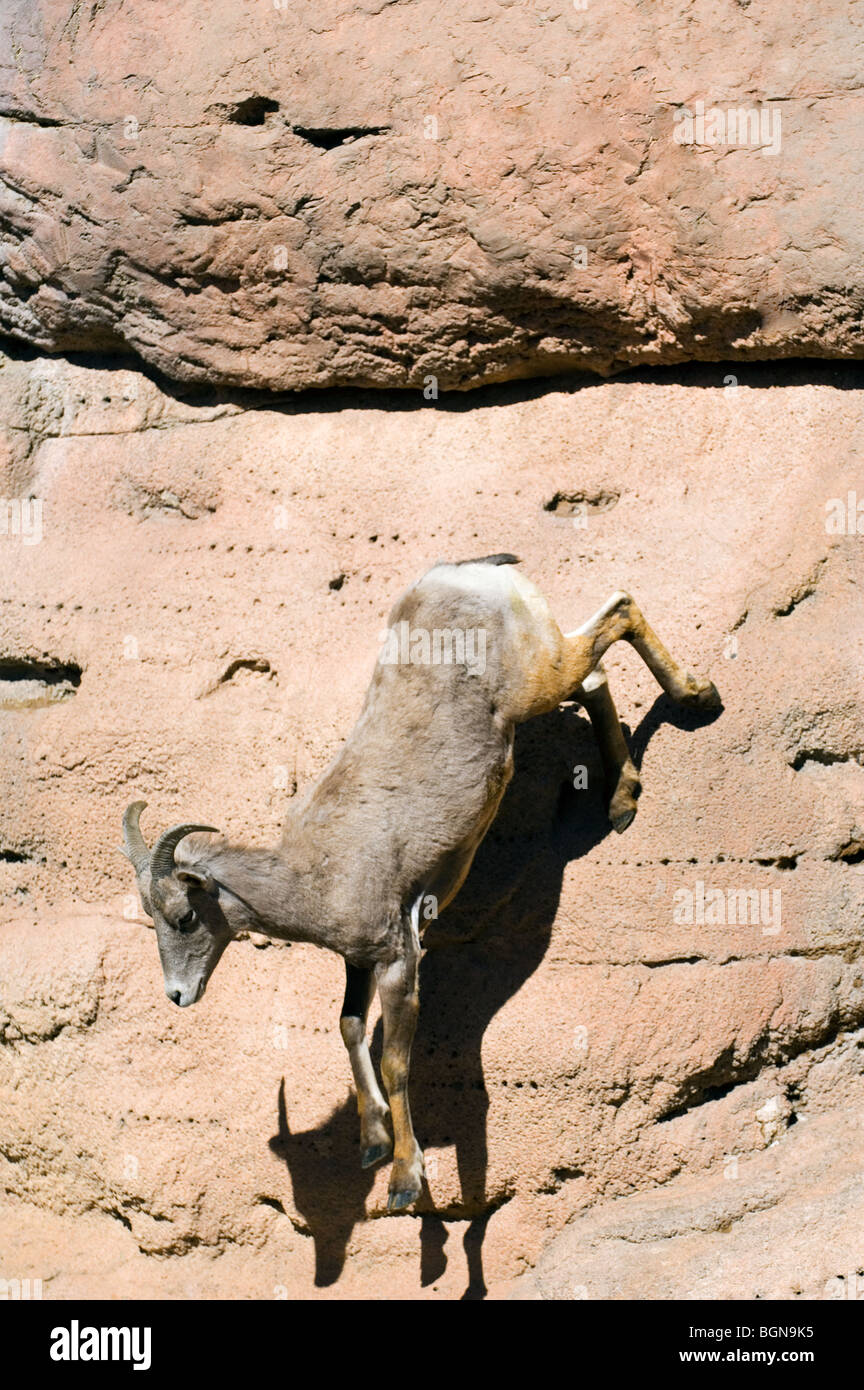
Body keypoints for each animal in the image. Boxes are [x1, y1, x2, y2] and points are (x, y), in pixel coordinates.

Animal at [120, 553, 716, 1206]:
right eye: (150, 919)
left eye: (183, 917)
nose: (177, 996)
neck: (314, 872)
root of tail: (470, 572)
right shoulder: (359, 962)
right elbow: (350, 1029)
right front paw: (372, 1144)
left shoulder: (398, 960)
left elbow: (395, 1064)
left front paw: (406, 1180)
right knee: (597, 678)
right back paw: (622, 800)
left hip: (539, 680)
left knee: (616, 617)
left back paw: (699, 698)